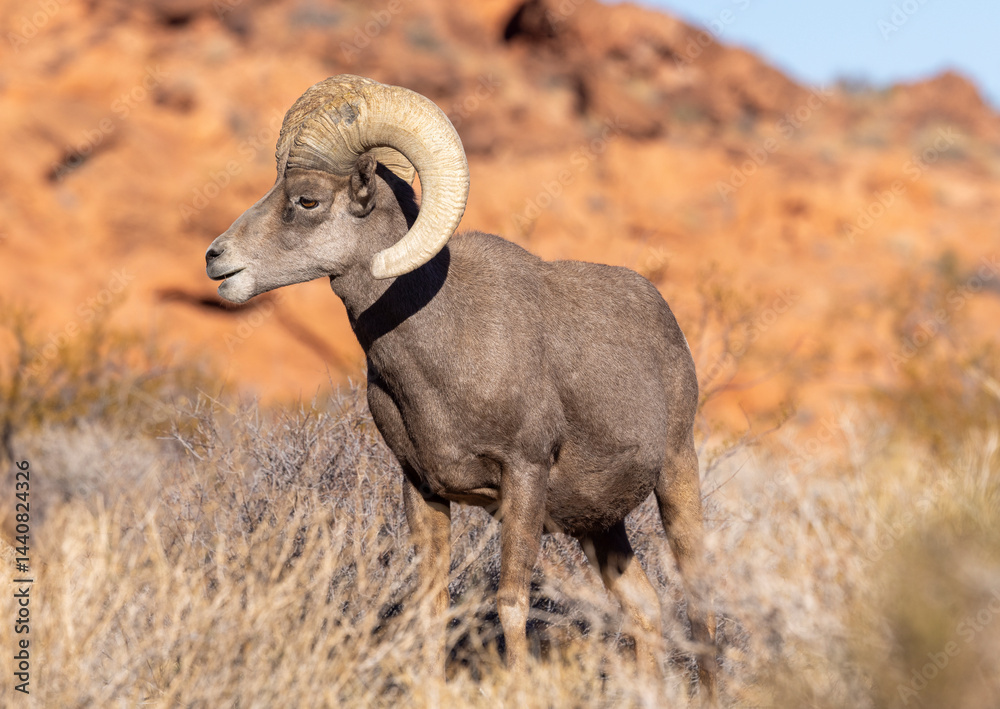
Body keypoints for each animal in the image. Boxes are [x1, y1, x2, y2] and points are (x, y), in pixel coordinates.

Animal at [205, 74, 718, 701]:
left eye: (307, 200)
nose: (216, 259)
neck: (444, 345)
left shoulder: (523, 477)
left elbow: (512, 603)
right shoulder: (422, 489)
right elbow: (431, 607)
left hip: (676, 478)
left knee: (699, 608)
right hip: (600, 527)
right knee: (645, 609)